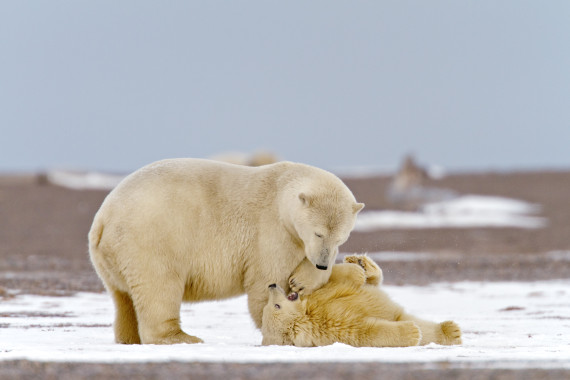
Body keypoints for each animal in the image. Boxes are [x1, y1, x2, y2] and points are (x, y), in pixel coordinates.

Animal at [89, 157, 364, 344]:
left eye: (342, 237)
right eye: (318, 233)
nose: (321, 262)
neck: (280, 187)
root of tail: (103, 218)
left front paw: (308, 278)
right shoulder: (271, 231)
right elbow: (267, 281)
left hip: (113, 256)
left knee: (123, 297)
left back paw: (128, 337)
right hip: (151, 238)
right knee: (159, 286)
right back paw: (181, 337)